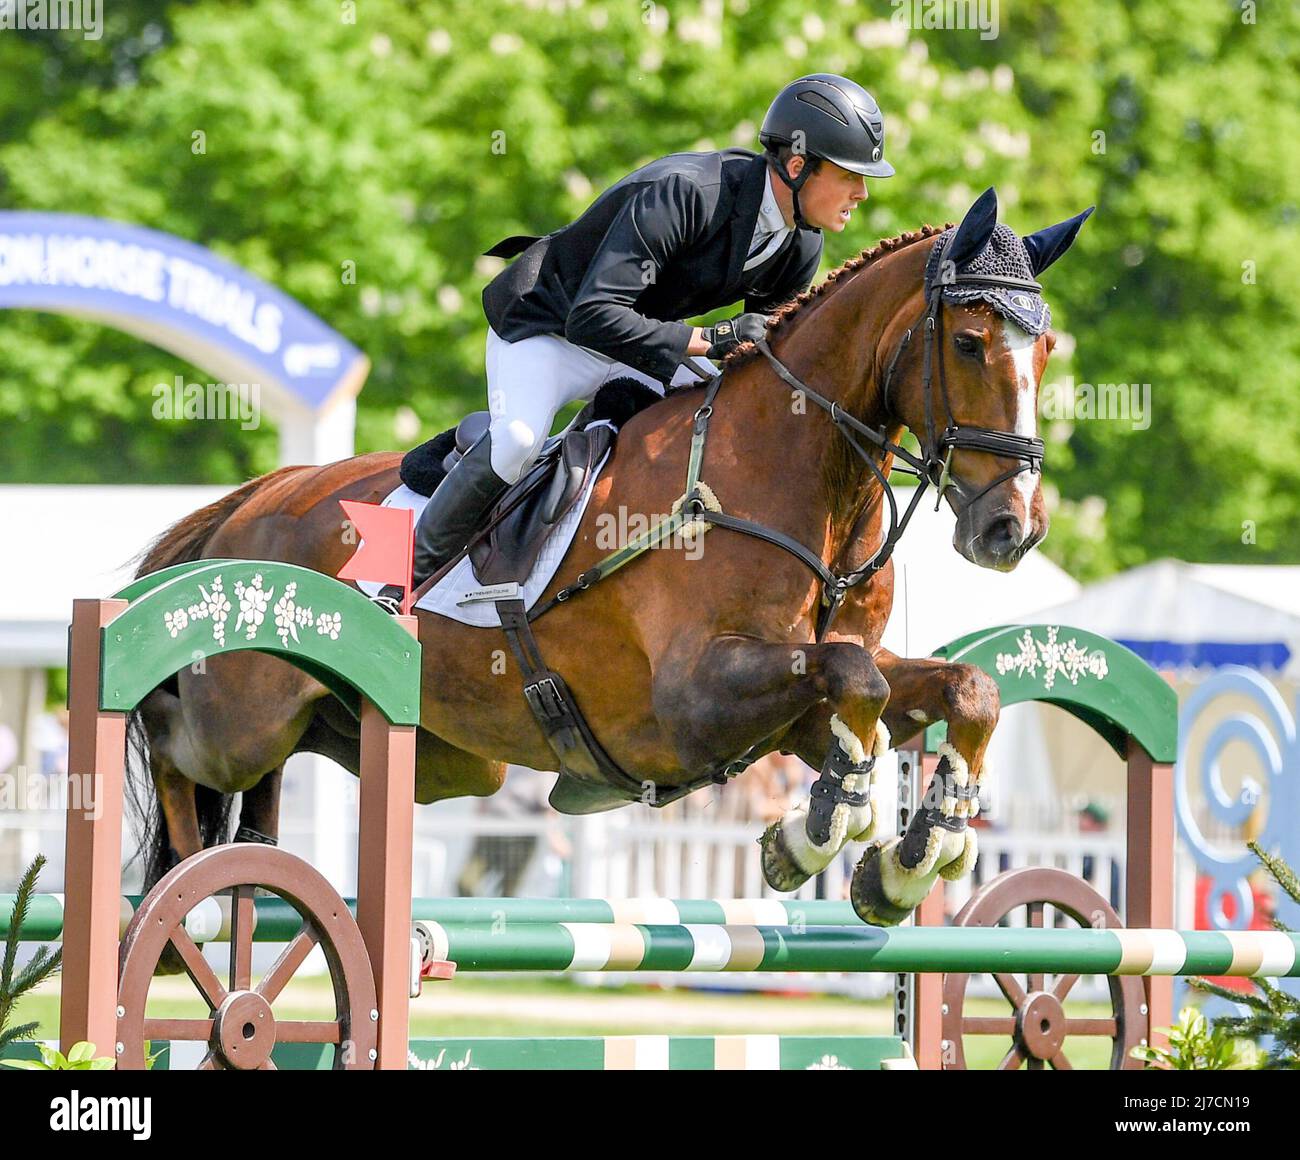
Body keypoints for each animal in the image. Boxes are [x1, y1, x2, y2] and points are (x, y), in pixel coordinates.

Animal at [129, 192, 1086, 931]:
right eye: (968, 343)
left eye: (1045, 350)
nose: (1013, 529)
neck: (801, 473)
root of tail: (251, 503)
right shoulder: (698, 697)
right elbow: (859, 685)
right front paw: (808, 841)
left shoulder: (794, 703)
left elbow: (948, 692)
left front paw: (912, 854)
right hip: (241, 721)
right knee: (174, 742)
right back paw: (186, 896)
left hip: (400, 746)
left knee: (260, 793)